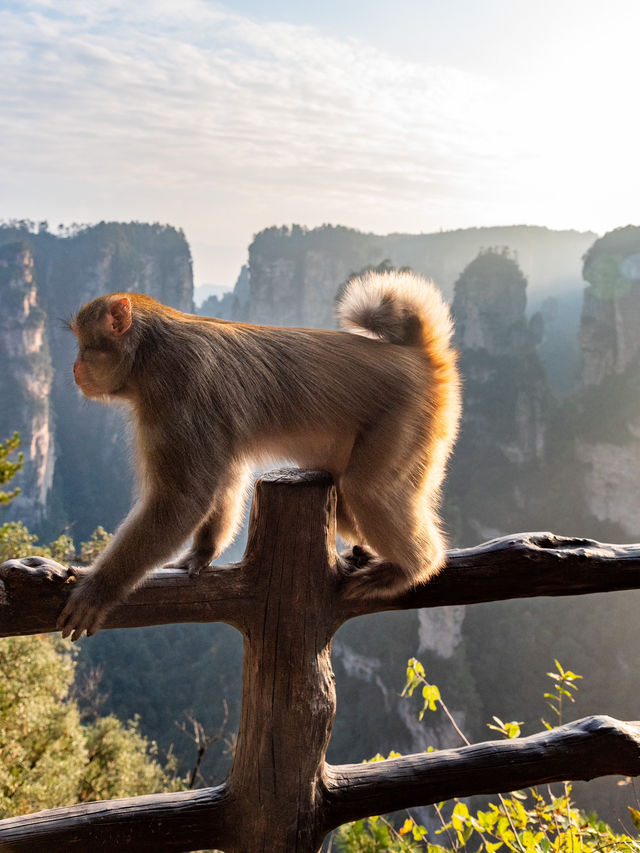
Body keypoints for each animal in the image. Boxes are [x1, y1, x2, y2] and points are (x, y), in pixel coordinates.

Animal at [57, 272, 460, 640]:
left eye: (83, 345)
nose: (74, 368)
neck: (148, 355)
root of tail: (417, 354)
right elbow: (224, 479)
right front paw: (201, 553)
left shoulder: (176, 391)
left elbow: (183, 498)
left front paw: (98, 590)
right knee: (348, 505)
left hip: (406, 417)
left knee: (366, 490)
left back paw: (412, 568)